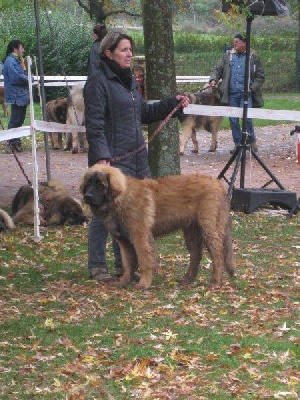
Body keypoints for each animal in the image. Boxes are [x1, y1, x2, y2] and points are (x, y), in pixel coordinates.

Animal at [81, 164, 236, 290]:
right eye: (88, 183)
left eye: (100, 184)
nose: (87, 196)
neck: (121, 199)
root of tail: (217, 184)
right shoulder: (123, 241)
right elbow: (127, 264)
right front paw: (124, 282)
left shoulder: (140, 237)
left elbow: (144, 262)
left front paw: (143, 284)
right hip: (191, 231)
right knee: (196, 255)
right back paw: (187, 279)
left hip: (208, 228)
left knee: (217, 254)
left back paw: (215, 281)